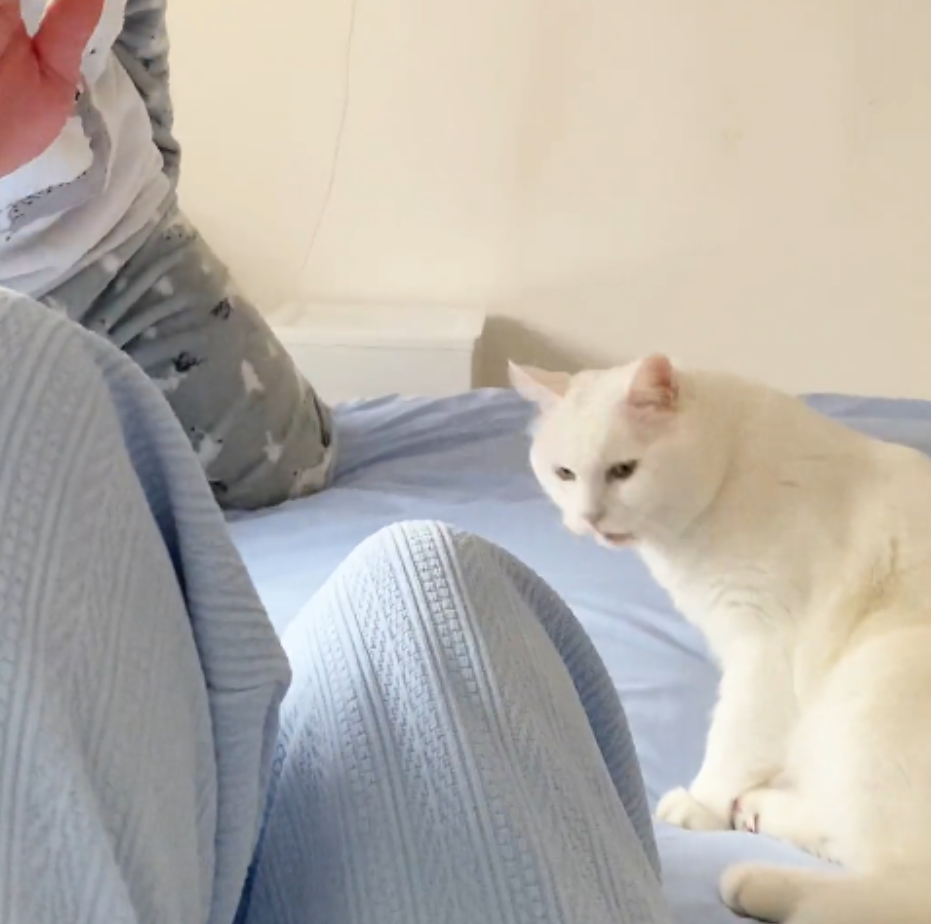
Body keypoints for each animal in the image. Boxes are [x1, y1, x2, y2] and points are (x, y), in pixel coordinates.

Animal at [510, 354, 931, 924]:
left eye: (624, 470)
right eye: (564, 473)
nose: (589, 519)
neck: (732, 468)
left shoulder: (767, 645)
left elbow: (736, 732)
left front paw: (702, 803)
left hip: (876, 679)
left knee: (895, 882)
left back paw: (759, 879)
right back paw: (759, 815)